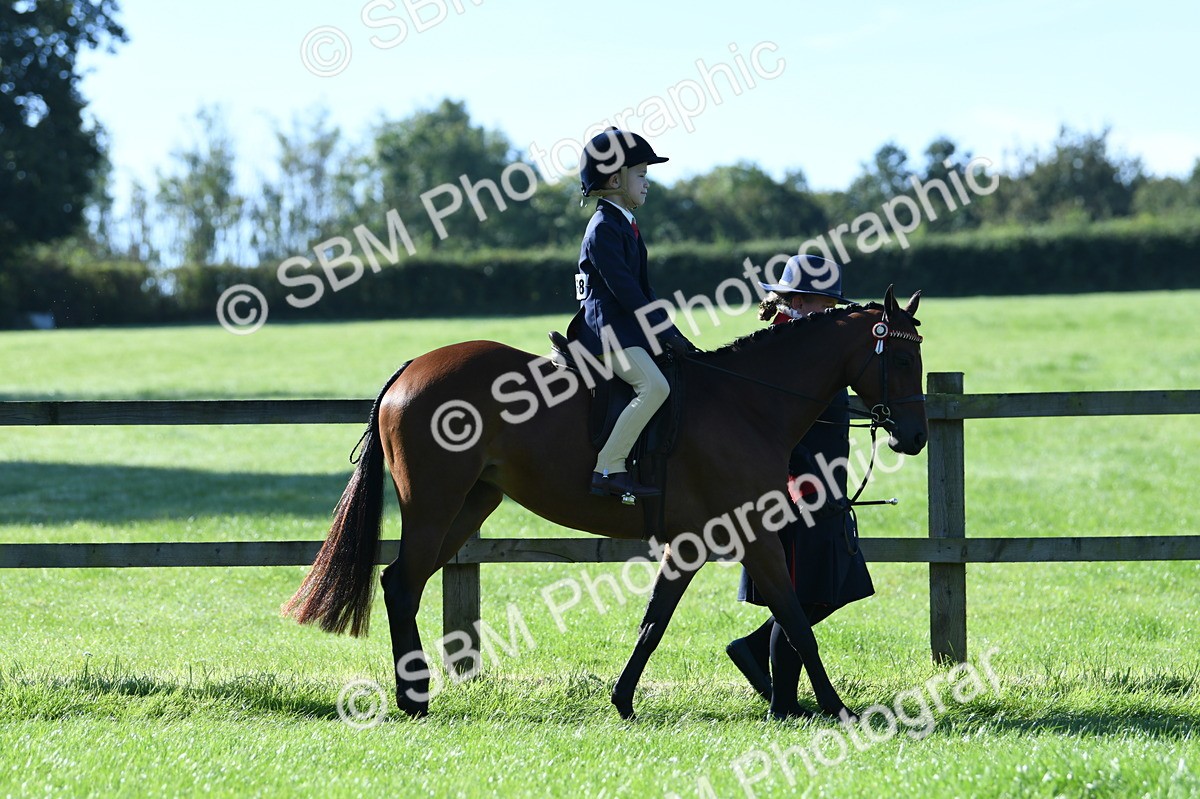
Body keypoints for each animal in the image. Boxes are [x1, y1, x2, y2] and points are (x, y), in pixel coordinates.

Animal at [284, 285, 927, 721]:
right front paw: (838, 709)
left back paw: (413, 695)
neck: (747, 401)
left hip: (467, 507)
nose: (913, 437)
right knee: (400, 584)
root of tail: (412, 369)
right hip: (434, 506)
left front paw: (622, 700)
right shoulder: (755, 535)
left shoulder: (692, 544)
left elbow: (654, 621)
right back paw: (412, 699)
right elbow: (796, 622)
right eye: (900, 359)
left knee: (406, 583)